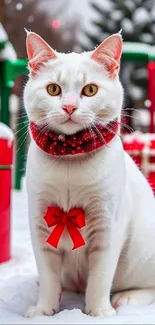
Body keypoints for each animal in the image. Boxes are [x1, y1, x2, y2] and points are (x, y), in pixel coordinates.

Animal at [23, 32, 155, 316]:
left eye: (90, 90)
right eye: (53, 89)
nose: (69, 107)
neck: (70, 162)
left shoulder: (108, 226)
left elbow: (100, 278)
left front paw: (99, 312)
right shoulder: (39, 223)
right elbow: (48, 277)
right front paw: (43, 309)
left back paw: (126, 298)